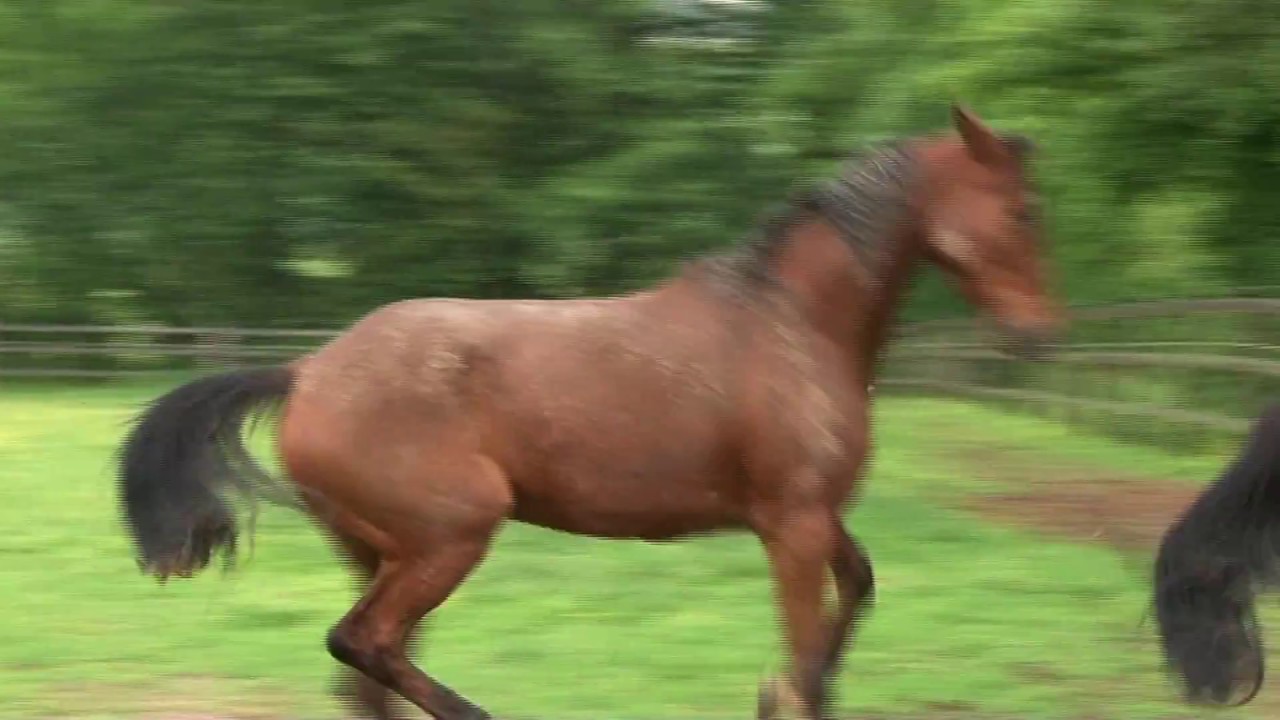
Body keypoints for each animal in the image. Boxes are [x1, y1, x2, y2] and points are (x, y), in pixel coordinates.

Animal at [116, 104, 1061, 720]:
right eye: (1021, 210)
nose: (1040, 336)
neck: (791, 325)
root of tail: (309, 370)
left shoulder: (810, 513)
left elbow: (855, 592)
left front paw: (779, 694)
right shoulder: (790, 521)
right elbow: (805, 647)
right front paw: (783, 693)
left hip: (377, 550)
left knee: (365, 674)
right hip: (448, 538)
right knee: (365, 644)